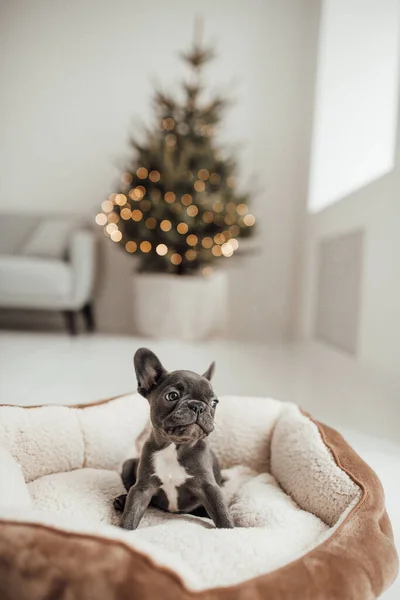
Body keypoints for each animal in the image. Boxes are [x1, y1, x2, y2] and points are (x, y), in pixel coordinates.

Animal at [114, 346, 234, 528]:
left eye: (214, 403)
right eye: (172, 396)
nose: (198, 406)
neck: (174, 447)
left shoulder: (209, 487)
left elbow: (221, 513)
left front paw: (230, 529)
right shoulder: (143, 487)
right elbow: (131, 511)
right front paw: (122, 530)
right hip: (128, 464)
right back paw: (122, 500)